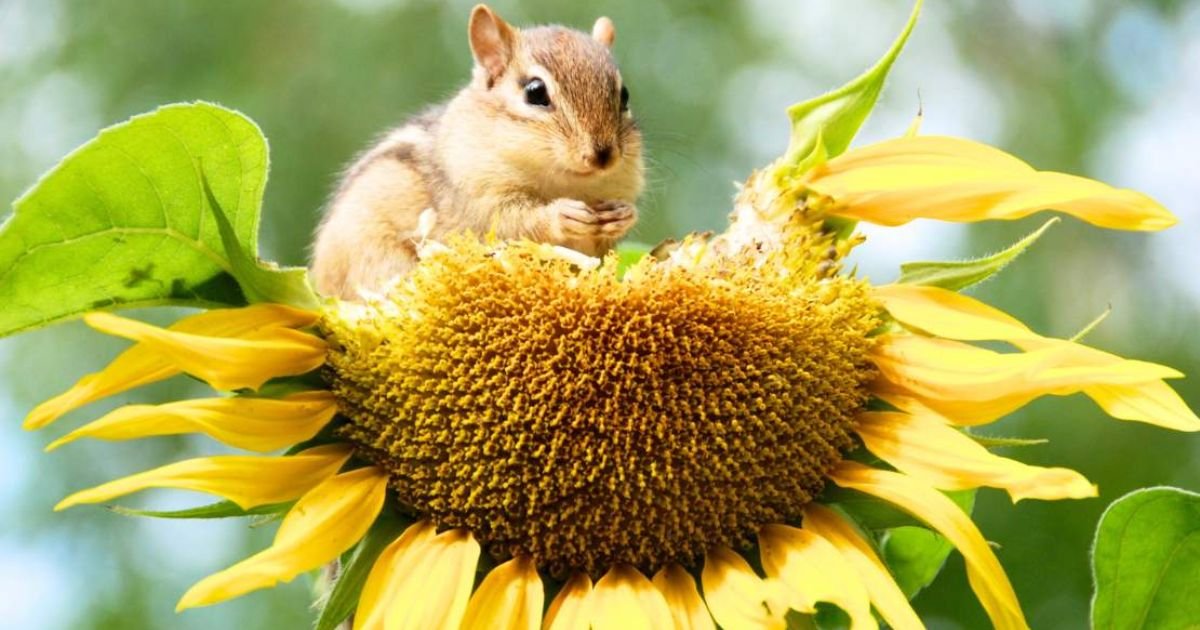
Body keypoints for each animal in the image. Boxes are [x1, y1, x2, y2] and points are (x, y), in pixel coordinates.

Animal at [311, 4, 645, 299]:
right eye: (535, 92)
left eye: (625, 95)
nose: (603, 155)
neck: (566, 182)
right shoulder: (478, 197)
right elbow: (512, 222)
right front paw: (562, 214)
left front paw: (623, 215)